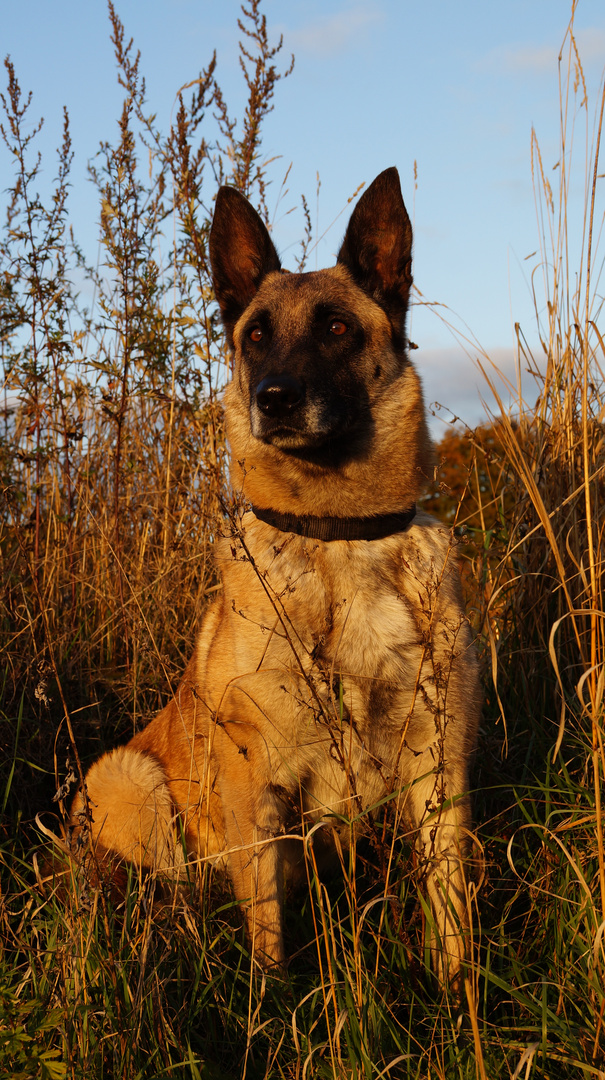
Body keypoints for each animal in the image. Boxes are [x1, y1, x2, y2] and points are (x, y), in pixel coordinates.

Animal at [68, 166, 479, 980]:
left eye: (337, 328)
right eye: (255, 335)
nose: (275, 400)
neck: (338, 538)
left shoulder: (438, 771)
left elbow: (449, 910)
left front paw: (460, 996)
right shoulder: (255, 782)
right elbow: (266, 928)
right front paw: (271, 998)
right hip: (129, 780)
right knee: (176, 890)